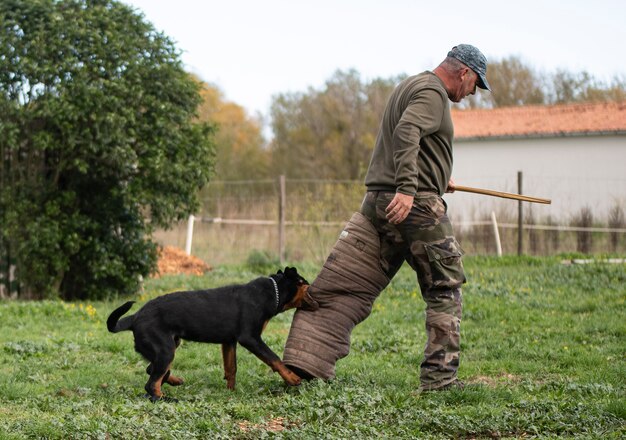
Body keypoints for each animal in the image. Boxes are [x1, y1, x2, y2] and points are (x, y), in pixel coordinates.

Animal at [106, 266, 316, 400]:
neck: (273, 292)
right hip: (165, 349)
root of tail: (135, 317)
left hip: (170, 345)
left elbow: (231, 368)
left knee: (152, 371)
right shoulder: (250, 338)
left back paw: (174, 381)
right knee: (151, 384)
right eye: (306, 283)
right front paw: (292, 378)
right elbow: (274, 359)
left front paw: (230, 393)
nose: (316, 290)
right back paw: (167, 398)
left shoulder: (229, 341)